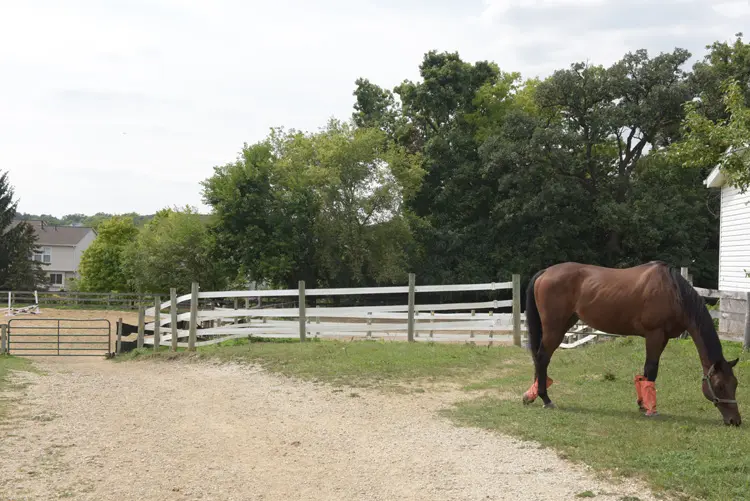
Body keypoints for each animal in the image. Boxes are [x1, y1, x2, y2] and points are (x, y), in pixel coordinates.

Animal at [522, 261, 741, 426]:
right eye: (720, 386)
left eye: (735, 383)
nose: (735, 421)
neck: (672, 292)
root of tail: (545, 272)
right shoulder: (654, 334)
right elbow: (651, 370)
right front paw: (651, 409)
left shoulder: (662, 338)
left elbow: (646, 372)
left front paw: (642, 404)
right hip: (555, 328)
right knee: (542, 358)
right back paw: (545, 398)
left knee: (540, 359)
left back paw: (532, 394)